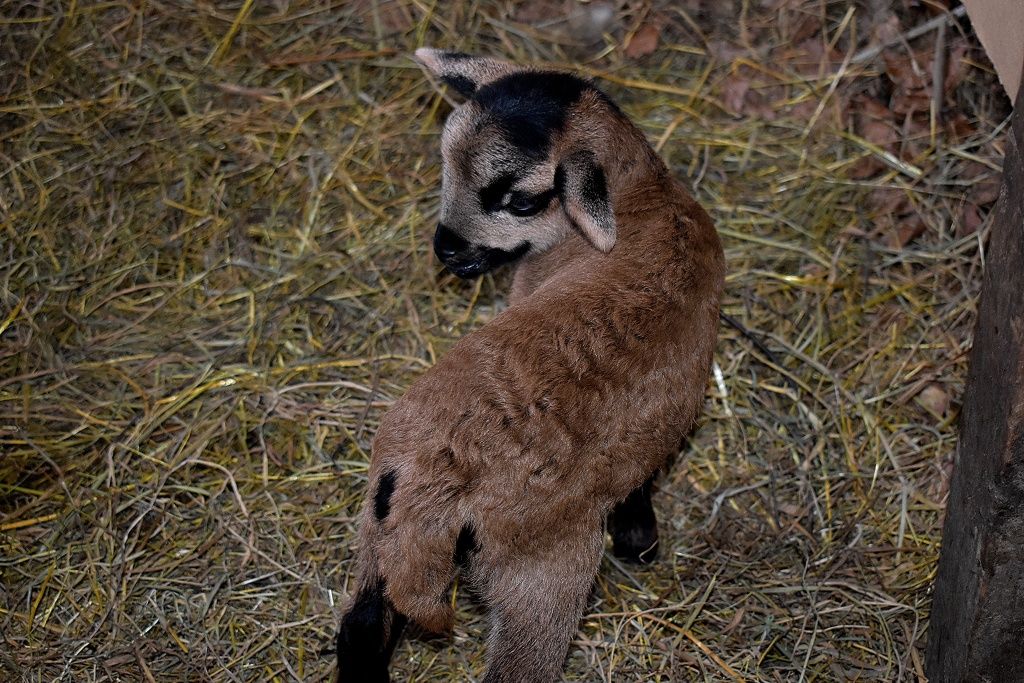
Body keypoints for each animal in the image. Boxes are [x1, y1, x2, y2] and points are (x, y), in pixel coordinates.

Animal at [333, 49, 720, 683]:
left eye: (520, 200)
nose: (445, 248)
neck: (643, 196)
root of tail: (440, 476)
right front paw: (638, 537)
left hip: (384, 524)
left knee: (364, 626)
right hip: (537, 573)